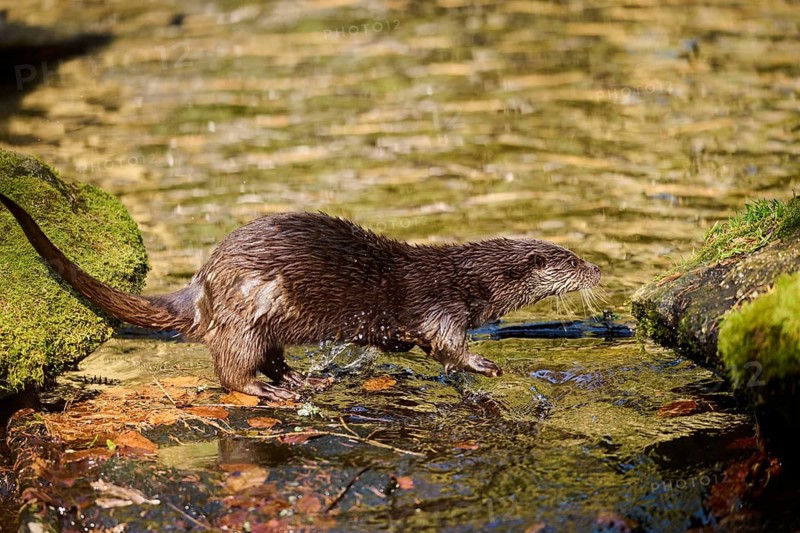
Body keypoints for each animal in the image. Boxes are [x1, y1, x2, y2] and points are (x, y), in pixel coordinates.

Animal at [0, 192, 601, 401]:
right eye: (571, 261)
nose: (597, 269)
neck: (469, 280)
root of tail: (203, 284)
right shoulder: (439, 304)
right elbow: (447, 344)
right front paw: (485, 365)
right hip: (248, 311)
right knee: (232, 369)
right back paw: (269, 391)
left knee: (272, 358)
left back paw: (302, 380)